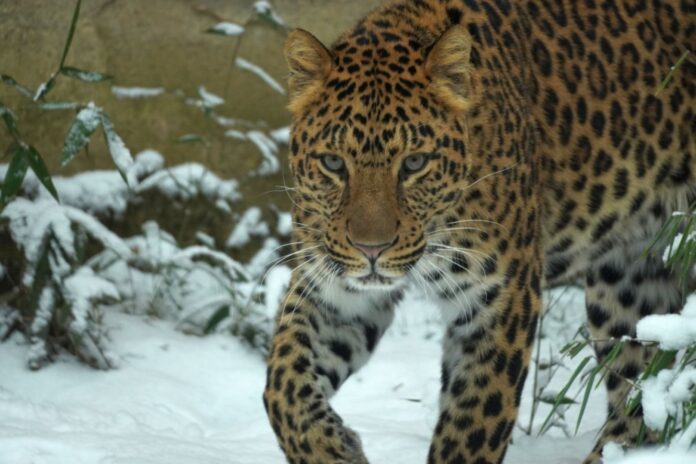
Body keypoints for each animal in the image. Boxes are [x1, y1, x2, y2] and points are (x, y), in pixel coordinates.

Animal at [262, 0, 696, 463]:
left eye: (414, 163)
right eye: (333, 163)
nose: (371, 250)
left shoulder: (501, 298)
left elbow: (472, 425)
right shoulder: (332, 287)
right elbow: (282, 384)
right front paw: (333, 447)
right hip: (632, 278)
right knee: (644, 392)